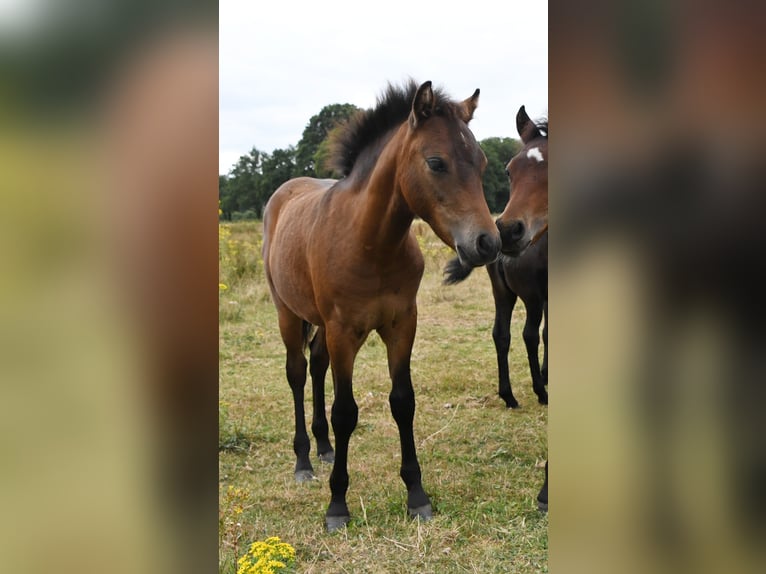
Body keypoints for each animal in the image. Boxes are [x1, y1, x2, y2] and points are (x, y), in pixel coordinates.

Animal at [262, 80, 501, 531]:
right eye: (436, 162)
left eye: (481, 163)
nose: (487, 243)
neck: (370, 243)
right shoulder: (344, 331)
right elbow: (345, 411)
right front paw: (337, 505)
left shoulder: (401, 324)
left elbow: (402, 402)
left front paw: (417, 496)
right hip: (289, 313)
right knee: (298, 372)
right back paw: (304, 461)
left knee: (316, 365)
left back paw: (324, 448)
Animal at [443, 104, 549, 510]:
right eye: (509, 171)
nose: (507, 231)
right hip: (530, 296)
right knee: (528, 334)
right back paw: (537, 390)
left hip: (504, 293)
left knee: (502, 335)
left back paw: (510, 395)